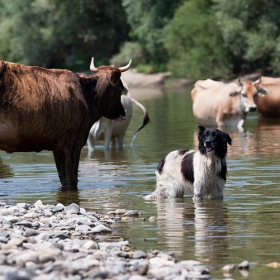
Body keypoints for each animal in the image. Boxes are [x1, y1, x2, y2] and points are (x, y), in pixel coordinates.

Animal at [0, 58, 130, 190]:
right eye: (120, 86)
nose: (123, 113)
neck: (87, 97)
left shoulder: (57, 145)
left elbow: (63, 179)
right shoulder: (73, 142)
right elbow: (72, 181)